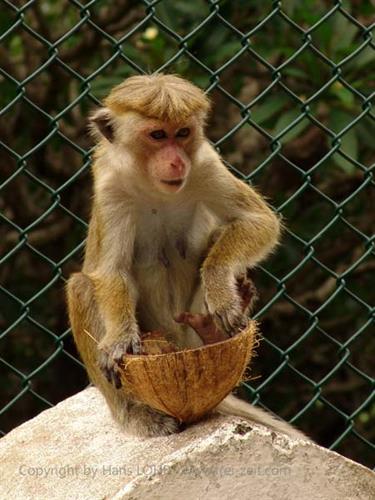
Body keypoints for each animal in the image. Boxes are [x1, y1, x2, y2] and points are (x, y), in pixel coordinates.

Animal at [67, 72, 308, 440]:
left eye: (182, 133)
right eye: (157, 135)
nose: (177, 160)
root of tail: (179, 343)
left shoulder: (205, 164)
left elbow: (259, 221)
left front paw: (220, 288)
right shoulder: (111, 185)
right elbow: (110, 271)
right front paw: (120, 338)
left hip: (188, 331)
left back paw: (215, 328)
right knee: (81, 285)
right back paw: (135, 413)